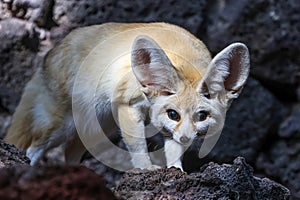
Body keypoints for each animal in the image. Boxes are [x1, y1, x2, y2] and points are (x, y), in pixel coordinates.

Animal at [4, 22, 250, 170]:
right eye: (174, 114)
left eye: (202, 116)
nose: (187, 139)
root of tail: (50, 52)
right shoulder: (128, 104)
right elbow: (138, 145)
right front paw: (146, 168)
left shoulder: (169, 130)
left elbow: (173, 151)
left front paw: (175, 171)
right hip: (61, 126)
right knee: (33, 148)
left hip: (97, 130)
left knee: (69, 154)